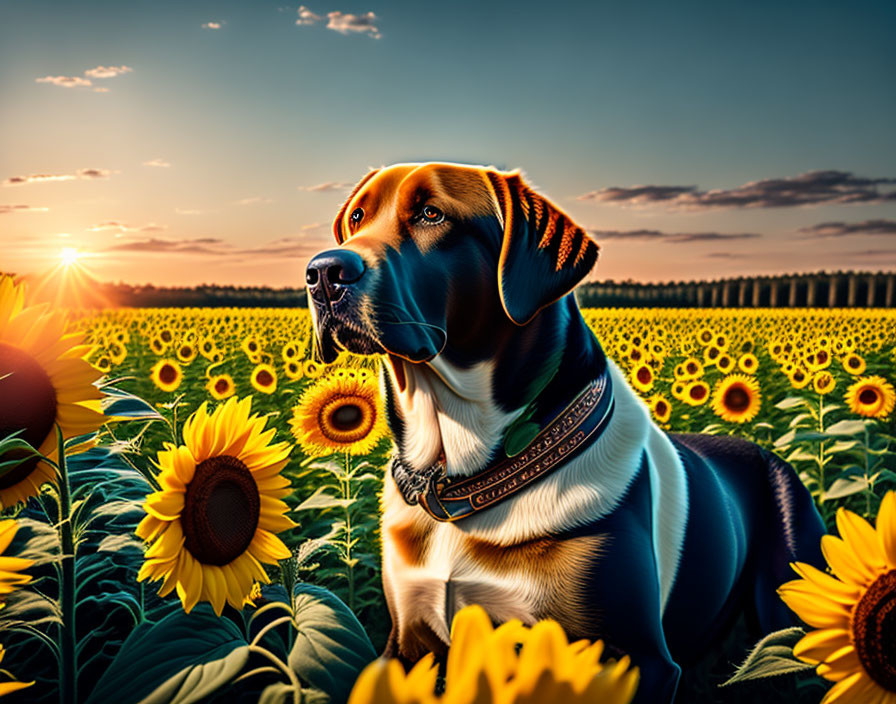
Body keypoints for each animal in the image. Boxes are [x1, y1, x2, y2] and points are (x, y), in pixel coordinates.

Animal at [308, 162, 824, 700]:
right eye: (356, 218)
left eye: (432, 214)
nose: (322, 272)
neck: (458, 479)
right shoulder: (410, 642)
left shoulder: (637, 660)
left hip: (788, 616)